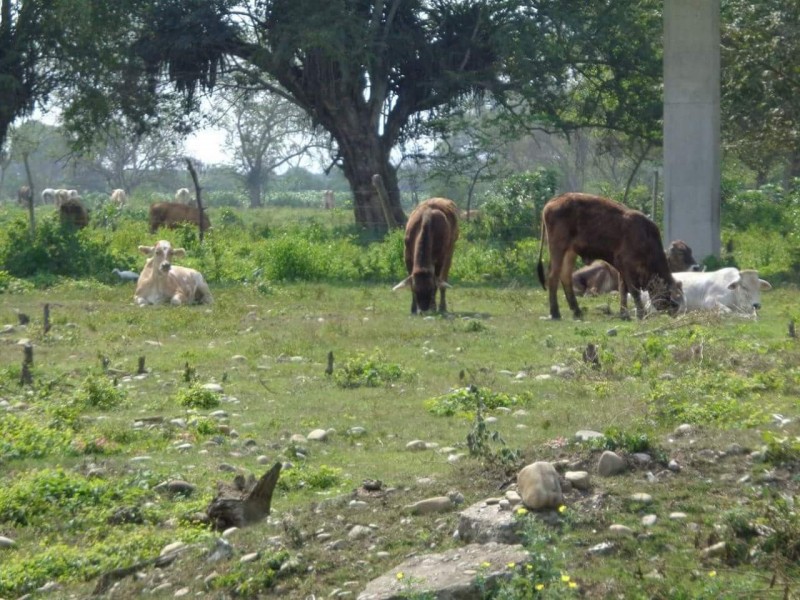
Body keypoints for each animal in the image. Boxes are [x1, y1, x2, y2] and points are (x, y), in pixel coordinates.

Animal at [536, 195, 684, 322]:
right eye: (669, 296)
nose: (674, 311)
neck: (645, 237)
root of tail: (555, 200)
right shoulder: (627, 267)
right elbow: (633, 291)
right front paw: (640, 315)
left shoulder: (621, 269)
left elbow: (623, 290)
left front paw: (624, 314)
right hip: (558, 249)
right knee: (553, 277)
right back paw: (555, 313)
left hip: (570, 252)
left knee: (565, 277)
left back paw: (577, 311)